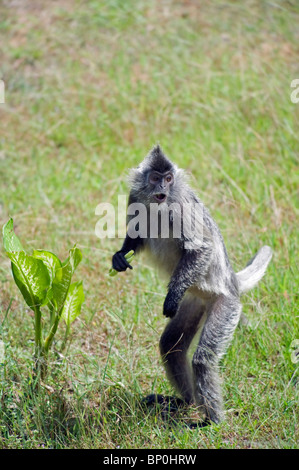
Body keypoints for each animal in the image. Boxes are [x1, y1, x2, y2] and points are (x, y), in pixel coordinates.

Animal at [112, 145, 272, 424]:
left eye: (168, 179)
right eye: (155, 178)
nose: (161, 188)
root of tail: (231, 281)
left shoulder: (180, 206)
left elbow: (201, 249)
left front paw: (171, 295)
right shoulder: (134, 196)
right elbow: (136, 236)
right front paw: (120, 256)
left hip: (226, 304)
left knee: (203, 360)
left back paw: (212, 423)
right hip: (195, 301)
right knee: (171, 347)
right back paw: (184, 402)